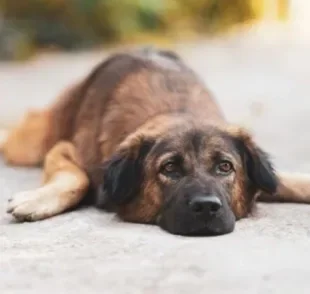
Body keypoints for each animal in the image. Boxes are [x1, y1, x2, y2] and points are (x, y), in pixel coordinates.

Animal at [0, 47, 310, 237]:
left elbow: (291, 181)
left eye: (225, 167)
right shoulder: (65, 150)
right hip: (31, 142)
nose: (207, 207)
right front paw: (37, 200)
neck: (177, 113)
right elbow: (78, 178)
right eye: (169, 168)